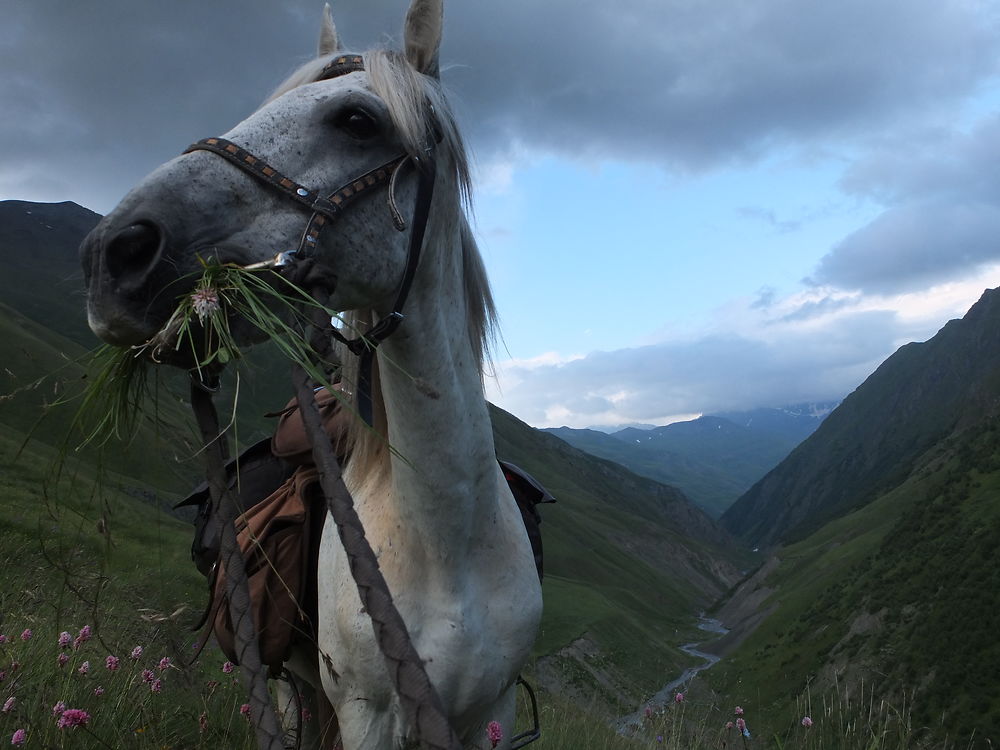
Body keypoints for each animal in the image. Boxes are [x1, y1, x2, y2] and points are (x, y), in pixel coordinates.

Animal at [79, 2, 548, 748]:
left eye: (357, 120)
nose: (112, 254)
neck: (448, 546)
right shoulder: (367, 713)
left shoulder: (491, 713)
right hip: (290, 677)